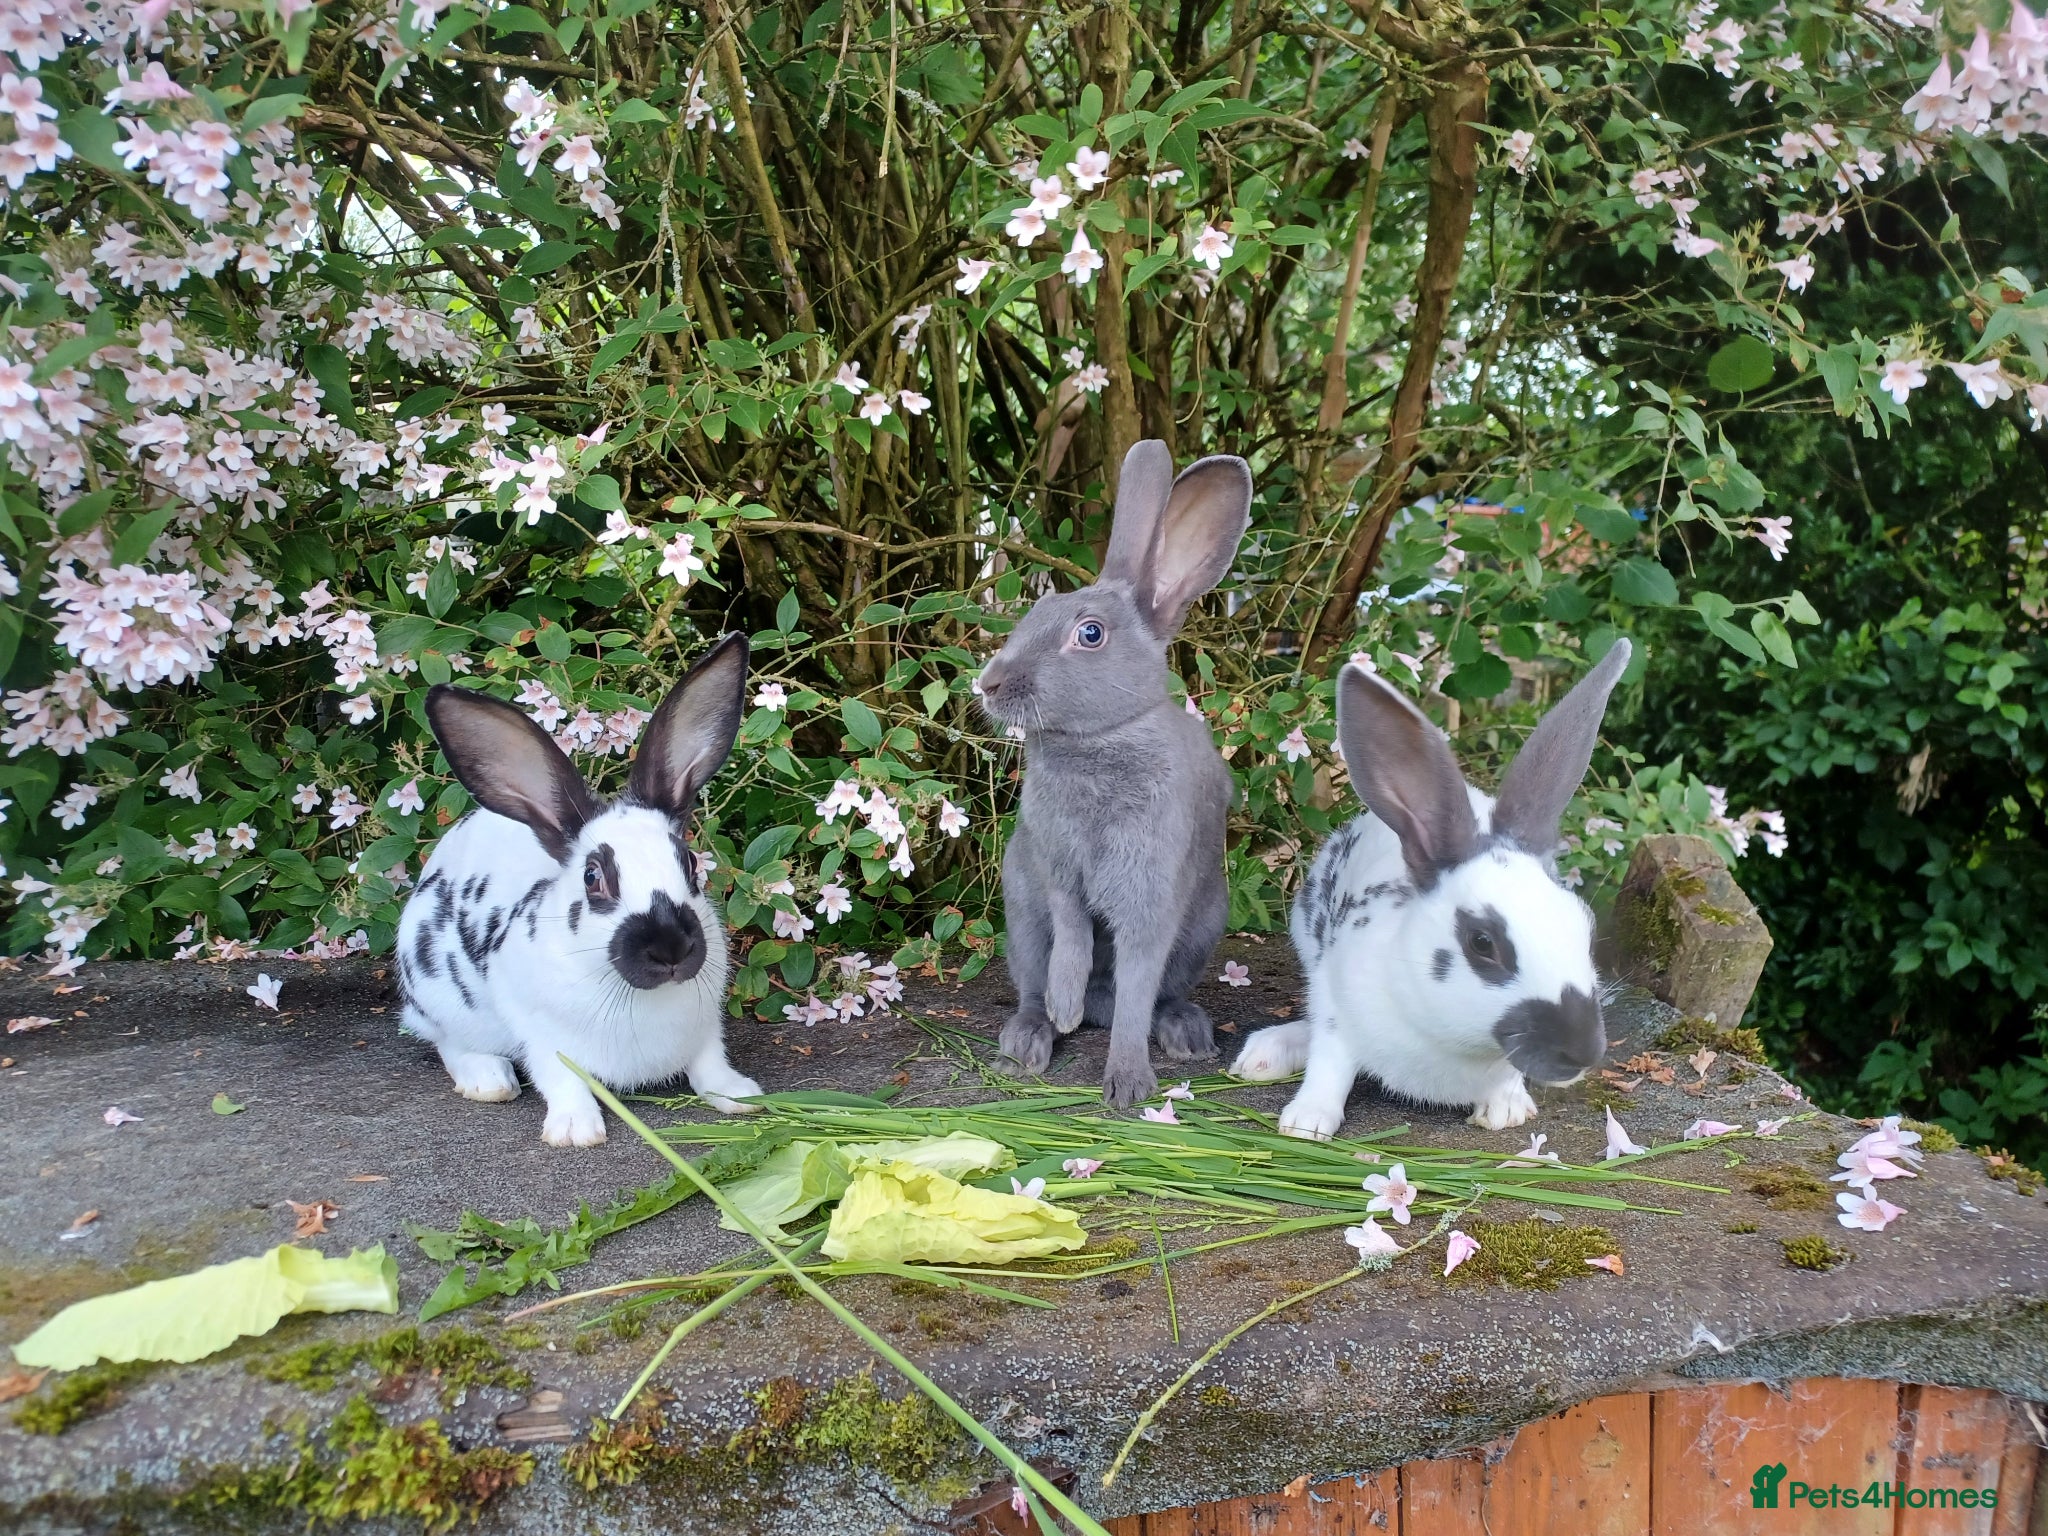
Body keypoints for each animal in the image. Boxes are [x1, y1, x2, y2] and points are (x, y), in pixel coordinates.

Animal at [395, 633, 761, 1147]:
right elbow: (560, 1078)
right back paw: (489, 1081)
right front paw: (575, 1132)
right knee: (450, 1043)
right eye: (592, 878)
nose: (670, 948)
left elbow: (710, 1065)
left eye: (689, 862)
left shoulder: (705, 1028)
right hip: (440, 998)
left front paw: (741, 1097)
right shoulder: (541, 1033)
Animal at [976, 439, 1253, 1109]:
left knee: (1157, 995)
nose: (987, 684)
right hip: (1021, 918)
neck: (1099, 740)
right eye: (1034, 612)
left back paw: (1183, 1034)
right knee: (1032, 982)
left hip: (1203, 927)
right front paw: (1066, 1007)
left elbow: (1135, 989)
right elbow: (1073, 933)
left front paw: (1126, 1087)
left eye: (1090, 633)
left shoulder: (1148, 893)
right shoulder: (1058, 871)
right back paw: (1033, 1037)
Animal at [1231, 639, 1634, 1137]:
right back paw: (1263, 1056)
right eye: (1482, 943)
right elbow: (1330, 1063)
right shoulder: (1337, 1008)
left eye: (1586, 929)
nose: (1583, 1051)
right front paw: (1306, 1123)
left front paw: (1505, 1111)